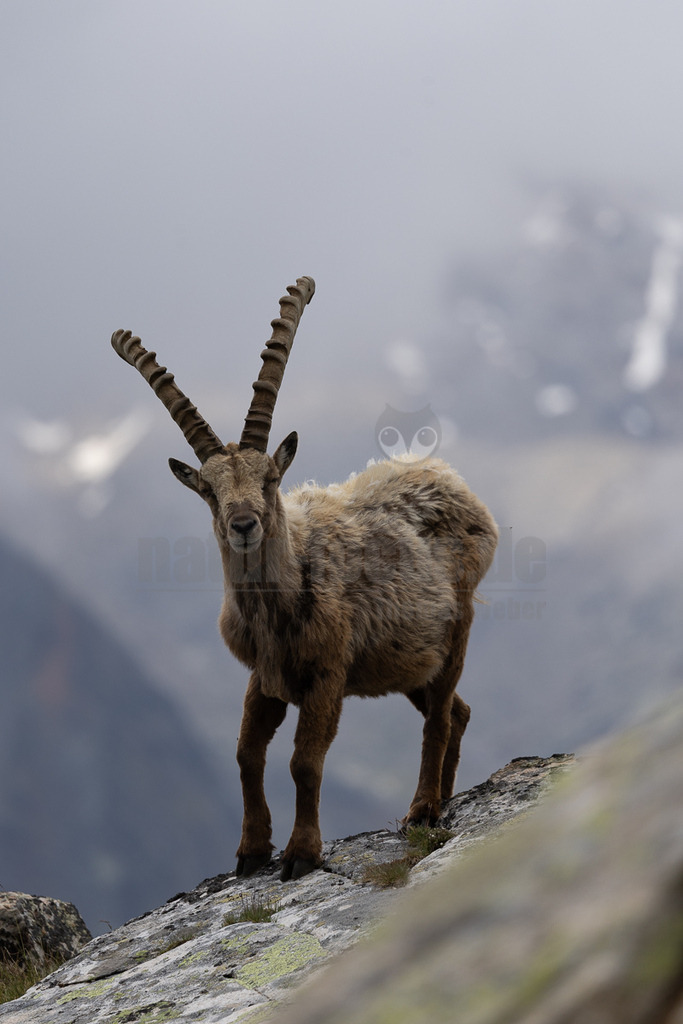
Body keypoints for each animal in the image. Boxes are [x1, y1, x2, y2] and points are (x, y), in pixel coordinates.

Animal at [111, 277, 498, 881]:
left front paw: (301, 852)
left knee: (438, 718)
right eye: (209, 491)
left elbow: (304, 762)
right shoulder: (266, 676)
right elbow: (246, 753)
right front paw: (251, 850)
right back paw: (442, 799)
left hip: (456, 628)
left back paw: (422, 808)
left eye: (271, 478)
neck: (282, 597)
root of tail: (454, 483)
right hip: (408, 658)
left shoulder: (326, 674)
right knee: (457, 711)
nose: (244, 525)